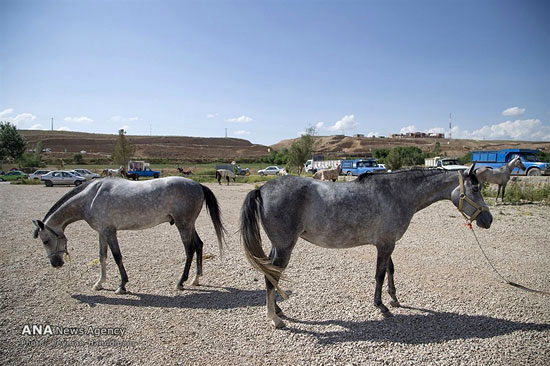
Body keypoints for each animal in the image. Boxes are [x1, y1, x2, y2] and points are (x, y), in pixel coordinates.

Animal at [31, 176, 226, 294]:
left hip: (183, 225)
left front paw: (122, 285)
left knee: (189, 250)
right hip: (189, 225)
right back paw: (195, 279)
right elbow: (102, 256)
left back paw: (181, 282)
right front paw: (99, 283)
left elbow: (117, 256)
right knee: (199, 245)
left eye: (45, 240)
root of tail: (198, 185)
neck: (90, 198)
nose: (56, 264)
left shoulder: (110, 231)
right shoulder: (102, 232)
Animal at [242, 164, 496, 328]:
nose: (489, 219)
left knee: (270, 274)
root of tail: (261, 189)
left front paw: (394, 299)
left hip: (277, 247)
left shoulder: (387, 242)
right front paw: (381, 306)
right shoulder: (385, 244)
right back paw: (274, 318)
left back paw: (278, 310)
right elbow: (380, 274)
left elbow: (390, 270)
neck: (397, 193)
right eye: (475, 189)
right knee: (271, 277)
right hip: (285, 247)